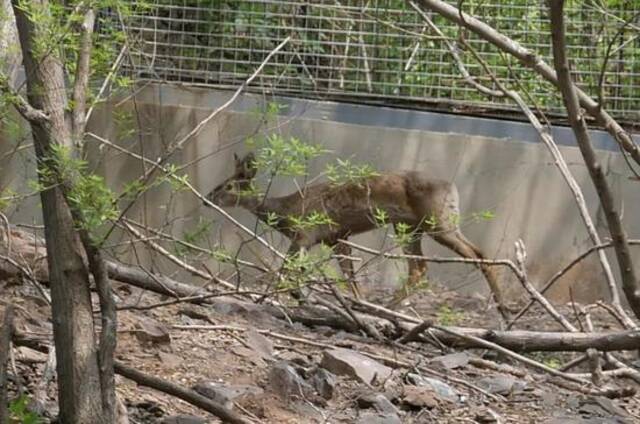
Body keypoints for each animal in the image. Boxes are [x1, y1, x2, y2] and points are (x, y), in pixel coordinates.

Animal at [208, 153, 508, 318]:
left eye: (228, 185)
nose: (208, 197)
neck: (286, 212)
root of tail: (452, 186)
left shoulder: (305, 234)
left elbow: (286, 270)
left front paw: (280, 298)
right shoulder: (337, 238)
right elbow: (349, 277)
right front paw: (356, 304)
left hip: (438, 222)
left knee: (479, 256)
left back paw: (504, 310)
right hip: (410, 227)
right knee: (420, 267)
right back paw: (386, 306)